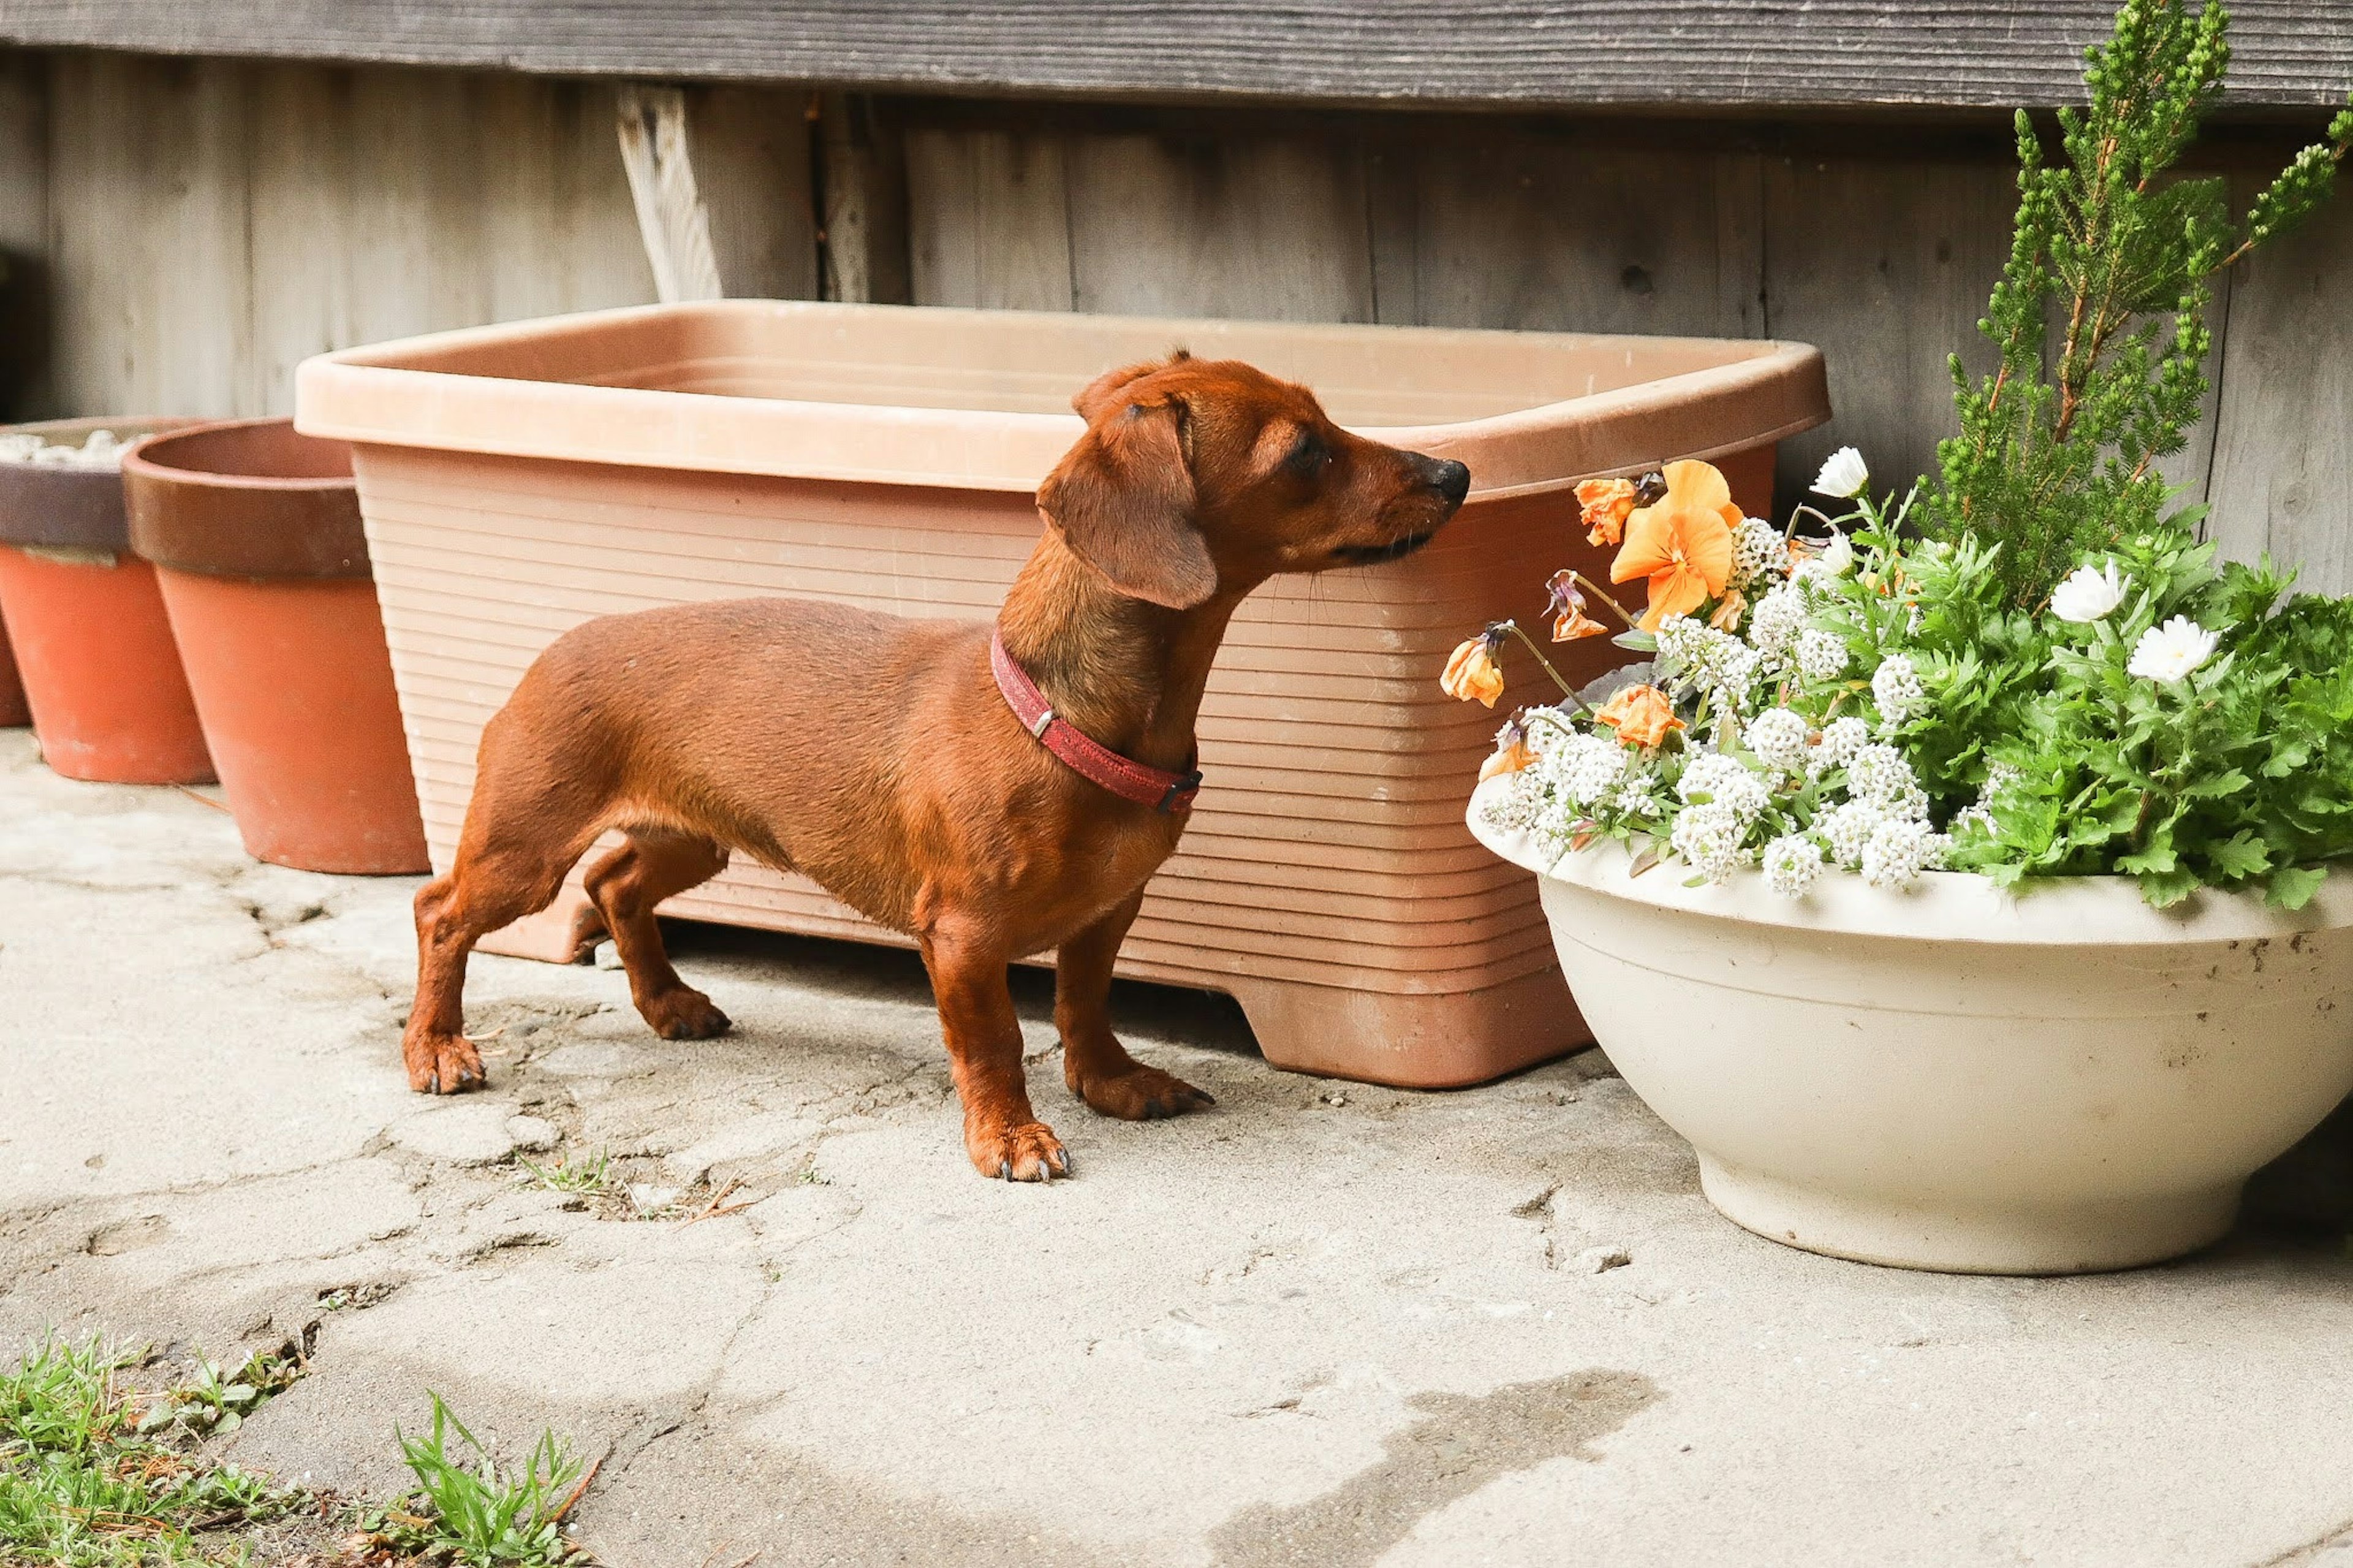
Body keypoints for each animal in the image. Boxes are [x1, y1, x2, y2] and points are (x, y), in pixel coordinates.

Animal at [404, 350, 1468, 1172]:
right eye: (1306, 451)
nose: (1456, 471)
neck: (1061, 709)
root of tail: (556, 648)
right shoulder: (960, 939)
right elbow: (995, 1040)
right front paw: (1011, 1135)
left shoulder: (1105, 914)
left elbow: (1086, 1006)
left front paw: (1113, 1080)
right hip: (522, 851)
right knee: (442, 910)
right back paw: (437, 1048)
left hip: (693, 837)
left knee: (617, 882)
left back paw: (668, 1002)